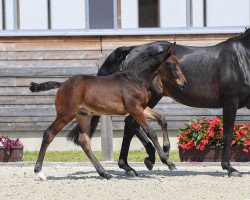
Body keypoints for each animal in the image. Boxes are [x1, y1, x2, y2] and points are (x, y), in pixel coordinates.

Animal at [29, 43, 187, 180]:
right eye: (172, 65)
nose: (183, 83)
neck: (135, 78)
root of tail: (62, 84)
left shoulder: (141, 108)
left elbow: (162, 118)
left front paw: (164, 152)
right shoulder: (135, 109)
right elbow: (151, 132)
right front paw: (166, 160)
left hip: (84, 116)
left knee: (84, 142)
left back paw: (104, 173)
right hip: (66, 114)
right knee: (49, 134)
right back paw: (39, 172)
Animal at [68, 29, 250, 177]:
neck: (242, 57)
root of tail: (132, 50)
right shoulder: (230, 102)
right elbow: (228, 134)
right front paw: (230, 168)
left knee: (132, 124)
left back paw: (134, 164)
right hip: (149, 98)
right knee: (132, 123)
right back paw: (146, 160)